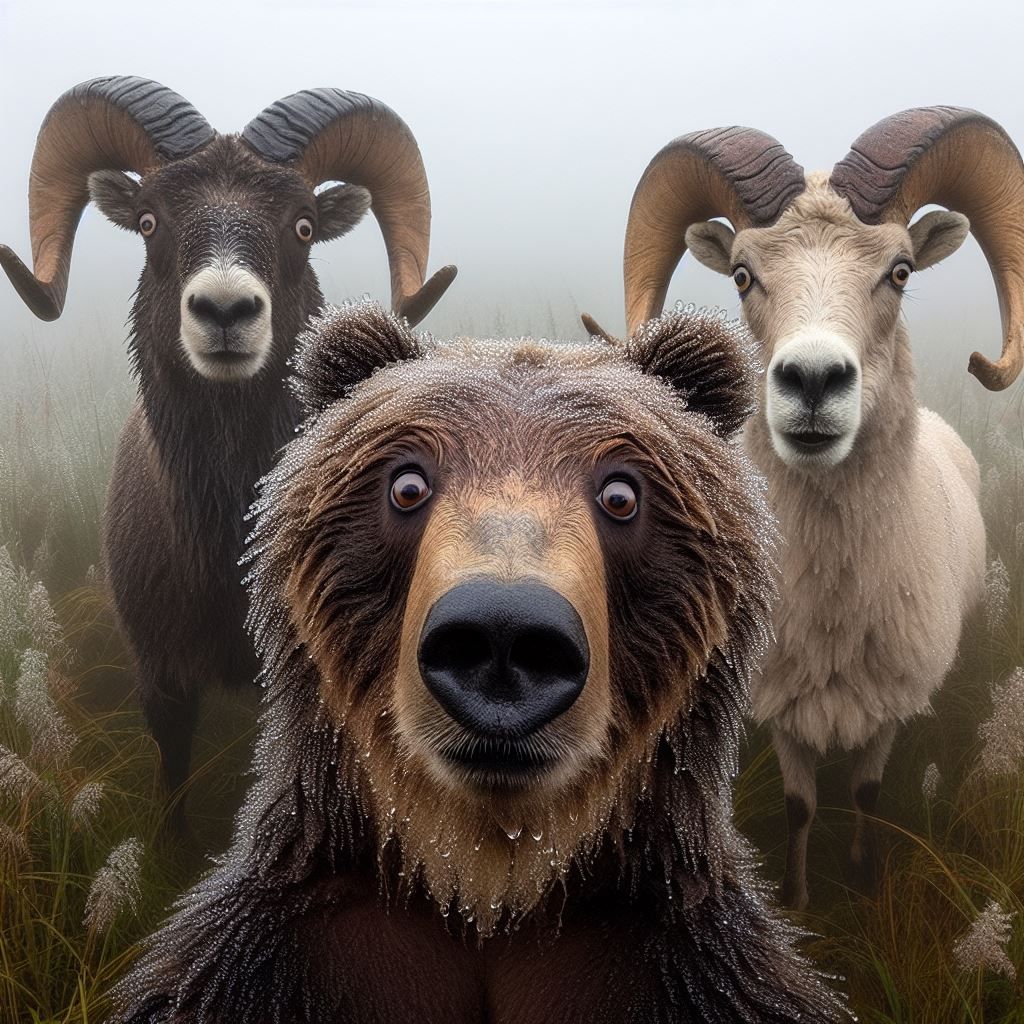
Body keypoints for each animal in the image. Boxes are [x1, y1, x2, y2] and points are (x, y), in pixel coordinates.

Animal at [109, 301, 848, 1023]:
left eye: (621, 493)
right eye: (407, 484)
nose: (503, 636)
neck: (487, 891)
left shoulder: (697, 972)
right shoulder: (259, 963)